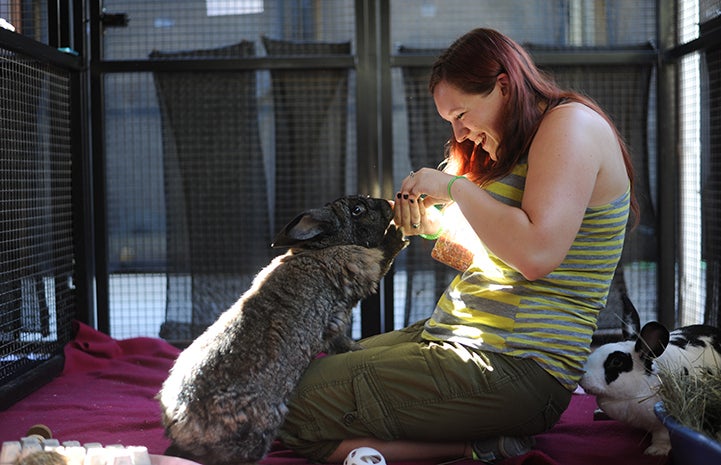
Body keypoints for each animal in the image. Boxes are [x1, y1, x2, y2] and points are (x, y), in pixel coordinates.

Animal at [158, 195, 408, 464]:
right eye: (357, 210)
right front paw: (398, 234)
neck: (323, 247)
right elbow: (383, 258)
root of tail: (181, 422)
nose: (388, 204)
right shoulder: (347, 301)